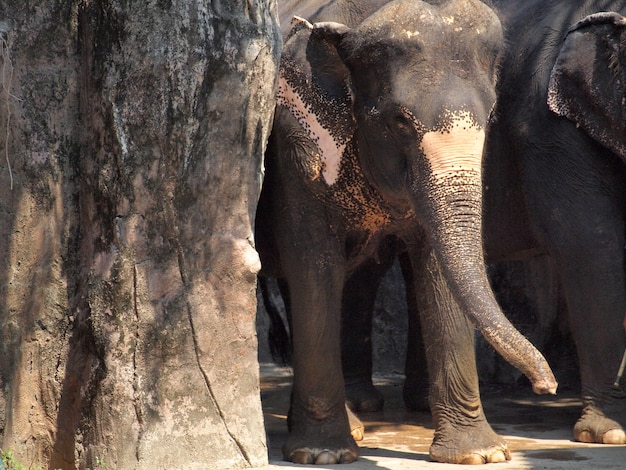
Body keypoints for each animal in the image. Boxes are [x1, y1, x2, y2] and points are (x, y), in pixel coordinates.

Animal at [254, 0, 556, 464]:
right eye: (399, 121)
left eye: (490, 116)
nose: (547, 385)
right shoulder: (295, 148)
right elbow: (314, 264)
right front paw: (324, 455)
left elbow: (435, 267)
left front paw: (479, 455)